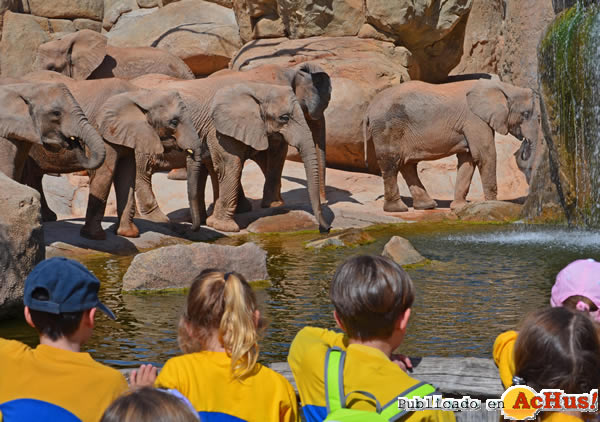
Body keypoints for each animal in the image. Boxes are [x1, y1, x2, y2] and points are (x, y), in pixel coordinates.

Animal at [364, 78, 540, 213]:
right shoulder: (474, 119)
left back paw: (427, 206)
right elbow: (485, 155)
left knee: (407, 165)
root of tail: (369, 107)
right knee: (392, 164)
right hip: (387, 128)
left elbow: (468, 159)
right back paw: (398, 209)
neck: (504, 87)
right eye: (526, 114)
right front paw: (492, 205)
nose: (524, 143)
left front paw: (459, 207)